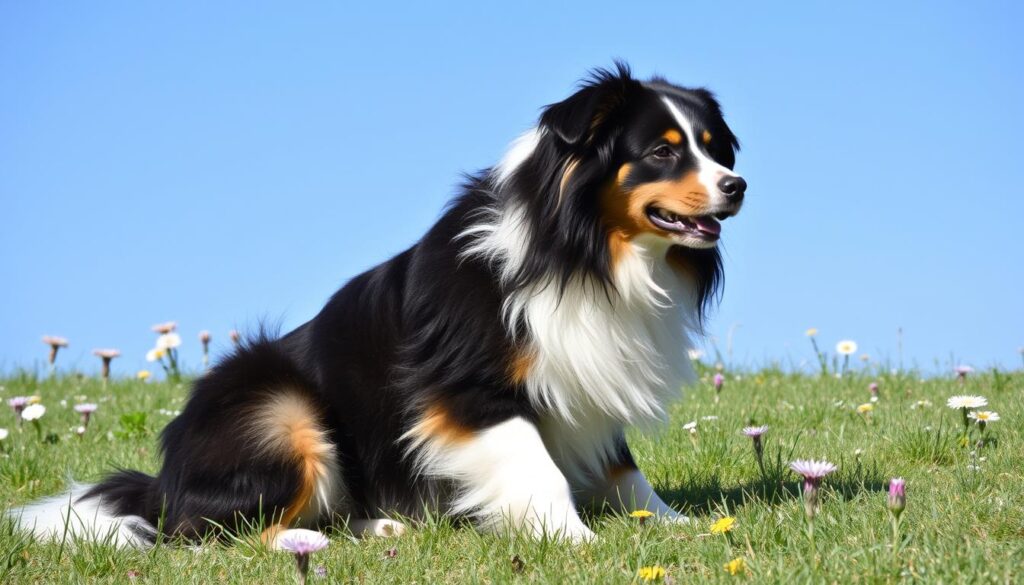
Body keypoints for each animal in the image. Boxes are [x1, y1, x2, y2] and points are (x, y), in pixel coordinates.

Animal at [14, 64, 745, 545]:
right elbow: (535, 464)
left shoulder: (591, 367)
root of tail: (161, 485)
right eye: (661, 153)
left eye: (714, 148)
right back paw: (304, 543)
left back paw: (377, 525)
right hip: (279, 411)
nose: (736, 185)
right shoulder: (468, 388)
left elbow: (625, 470)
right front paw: (577, 542)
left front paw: (683, 526)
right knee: (212, 533)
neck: (582, 251)